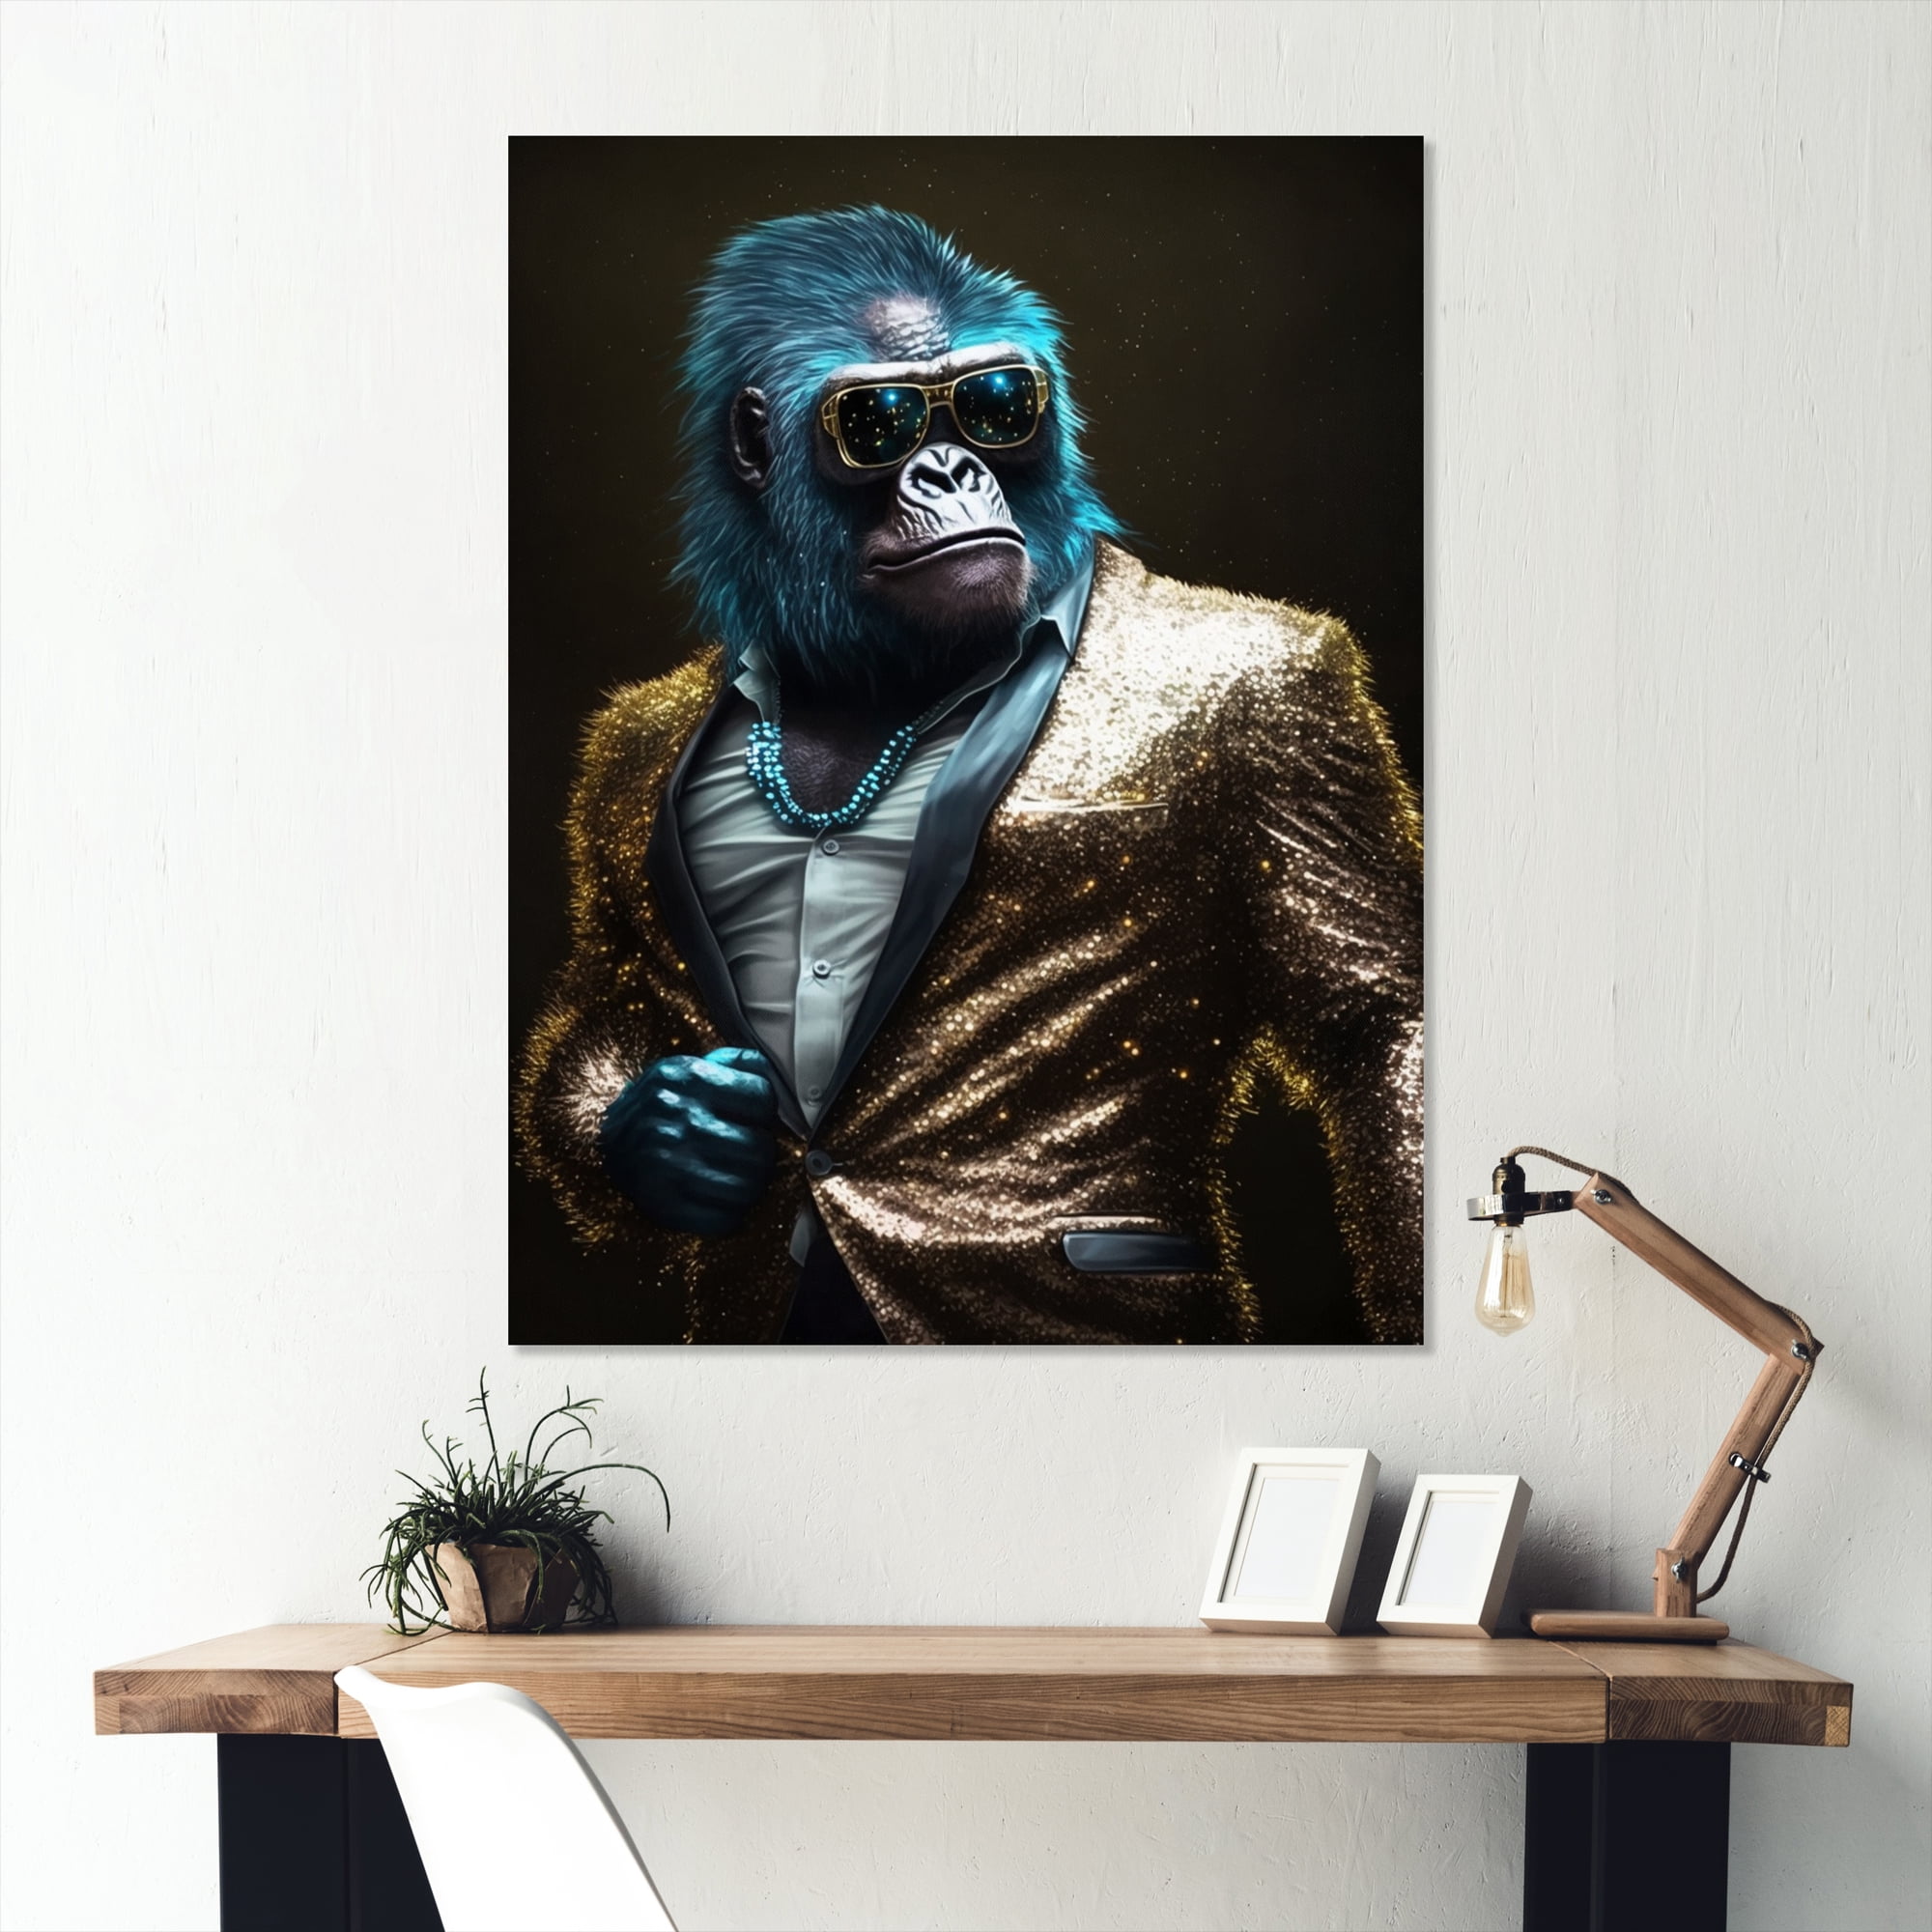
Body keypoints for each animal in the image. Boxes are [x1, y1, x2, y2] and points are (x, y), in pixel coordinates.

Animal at [516, 206, 1422, 1346]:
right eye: (879, 423)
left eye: (998, 403)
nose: (947, 470)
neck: (866, 671)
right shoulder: (621, 755)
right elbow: (602, 999)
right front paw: (669, 1133)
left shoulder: (1294, 715)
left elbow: (1374, 1026)